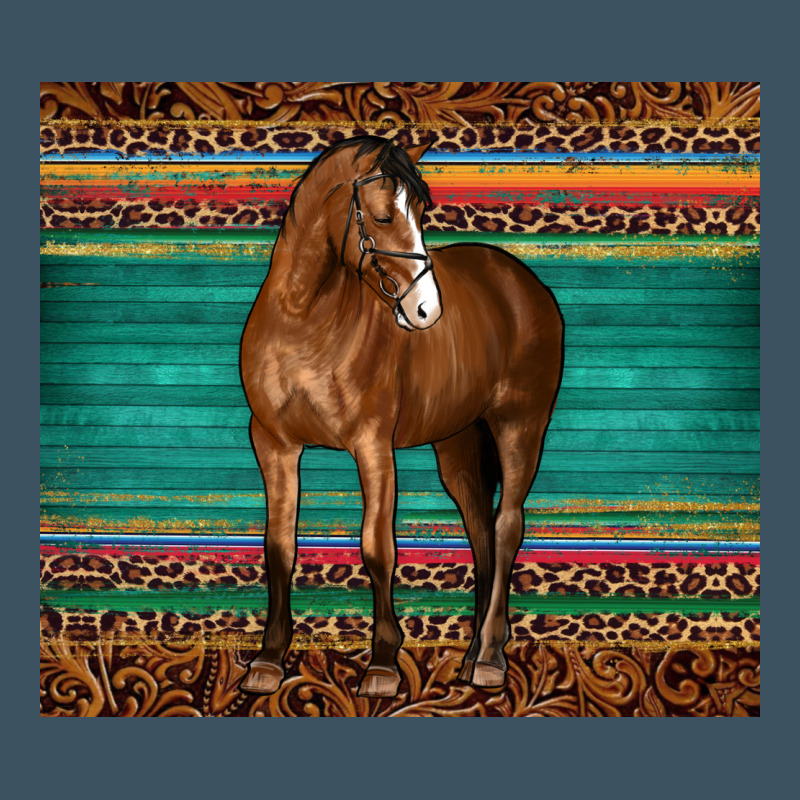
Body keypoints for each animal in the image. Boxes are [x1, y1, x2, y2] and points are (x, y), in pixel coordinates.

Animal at [239, 136, 564, 698]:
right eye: (384, 216)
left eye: (422, 212)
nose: (426, 311)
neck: (303, 320)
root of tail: (520, 281)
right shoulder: (274, 444)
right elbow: (279, 545)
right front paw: (268, 660)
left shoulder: (373, 446)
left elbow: (378, 548)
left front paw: (383, 665)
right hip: (458, 442)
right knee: (480, 530)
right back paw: (471, 654)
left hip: (520, 425)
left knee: (506, 526)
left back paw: (490, 659)